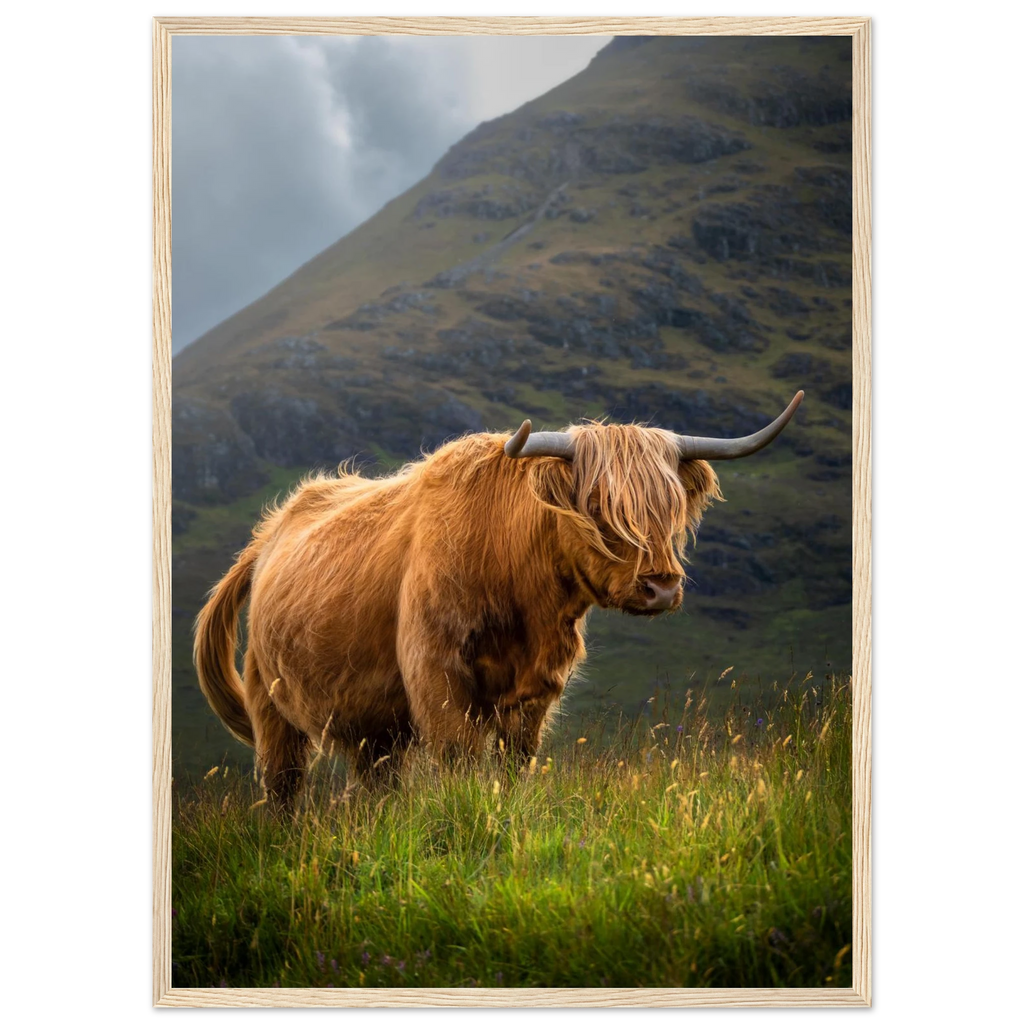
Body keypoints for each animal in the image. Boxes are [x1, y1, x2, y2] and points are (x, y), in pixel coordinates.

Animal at [194, 391, 803, 808]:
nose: (662, 587)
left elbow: (515, 762)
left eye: (672, 505)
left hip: (369, 722)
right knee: (283, 785)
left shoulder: (536, 686)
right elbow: (459, 757)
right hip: (270, 703)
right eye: (597, 506)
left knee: (376, 782)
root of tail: (269, 533)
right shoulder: (436, 673)